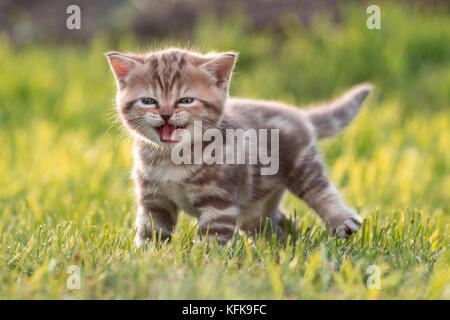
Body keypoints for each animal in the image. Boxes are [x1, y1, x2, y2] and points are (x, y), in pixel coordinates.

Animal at [106, 48, 372, 248]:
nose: (165, 114)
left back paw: (341, 220)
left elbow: (211, 239)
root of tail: (299, 114)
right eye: (148, 101)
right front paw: (147, 258)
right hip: (255, 209)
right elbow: (152, 232)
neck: (172, 158)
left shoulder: (219, 202)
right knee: (278, 224)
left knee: (321, 191)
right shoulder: (154, 200)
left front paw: (203, 263)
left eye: (186, 100)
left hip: (302, 166)